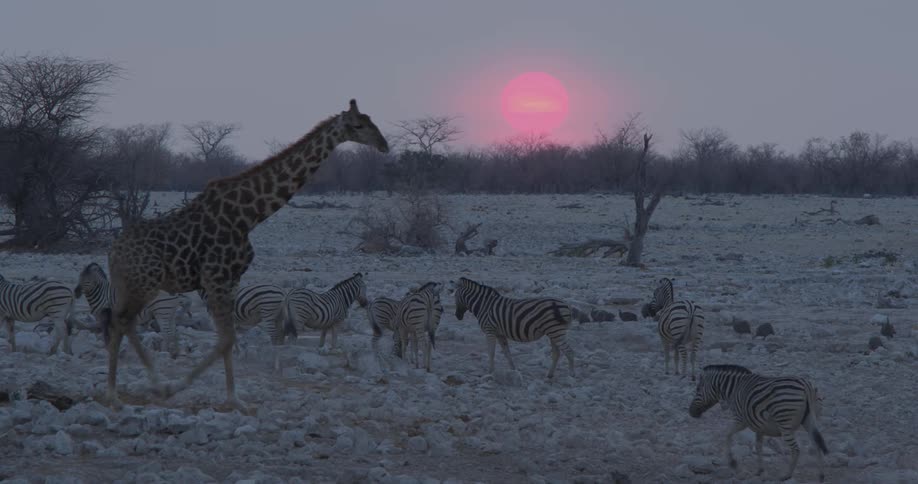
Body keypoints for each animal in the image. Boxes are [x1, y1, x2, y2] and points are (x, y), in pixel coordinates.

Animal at [101, 99, 388, 412]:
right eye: (358, 125)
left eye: (371, 120)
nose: (384, 144)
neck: (248, 216)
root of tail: (113, 252)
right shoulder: (215, 277)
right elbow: (226, 338)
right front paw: (193, 389)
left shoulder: (230, 279)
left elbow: (228, 338)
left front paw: (232, 397)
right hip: (143, 283)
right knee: (122, 322)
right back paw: (125, 393)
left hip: (134, 285)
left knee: (121, 322)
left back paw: (132, 388)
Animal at [689, 364, 828, 482]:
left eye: (697, 389)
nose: (691, 413)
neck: (734, 389)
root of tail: (806, 386)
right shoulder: (759, 426)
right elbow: (758, 446)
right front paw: (759, 470)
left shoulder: (740, 420)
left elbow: (727, 435)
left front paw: (733, 463)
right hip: (809, 420)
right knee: (817, 444)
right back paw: (821, 476)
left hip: (785, 424)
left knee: (796, 450)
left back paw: (786, 476)